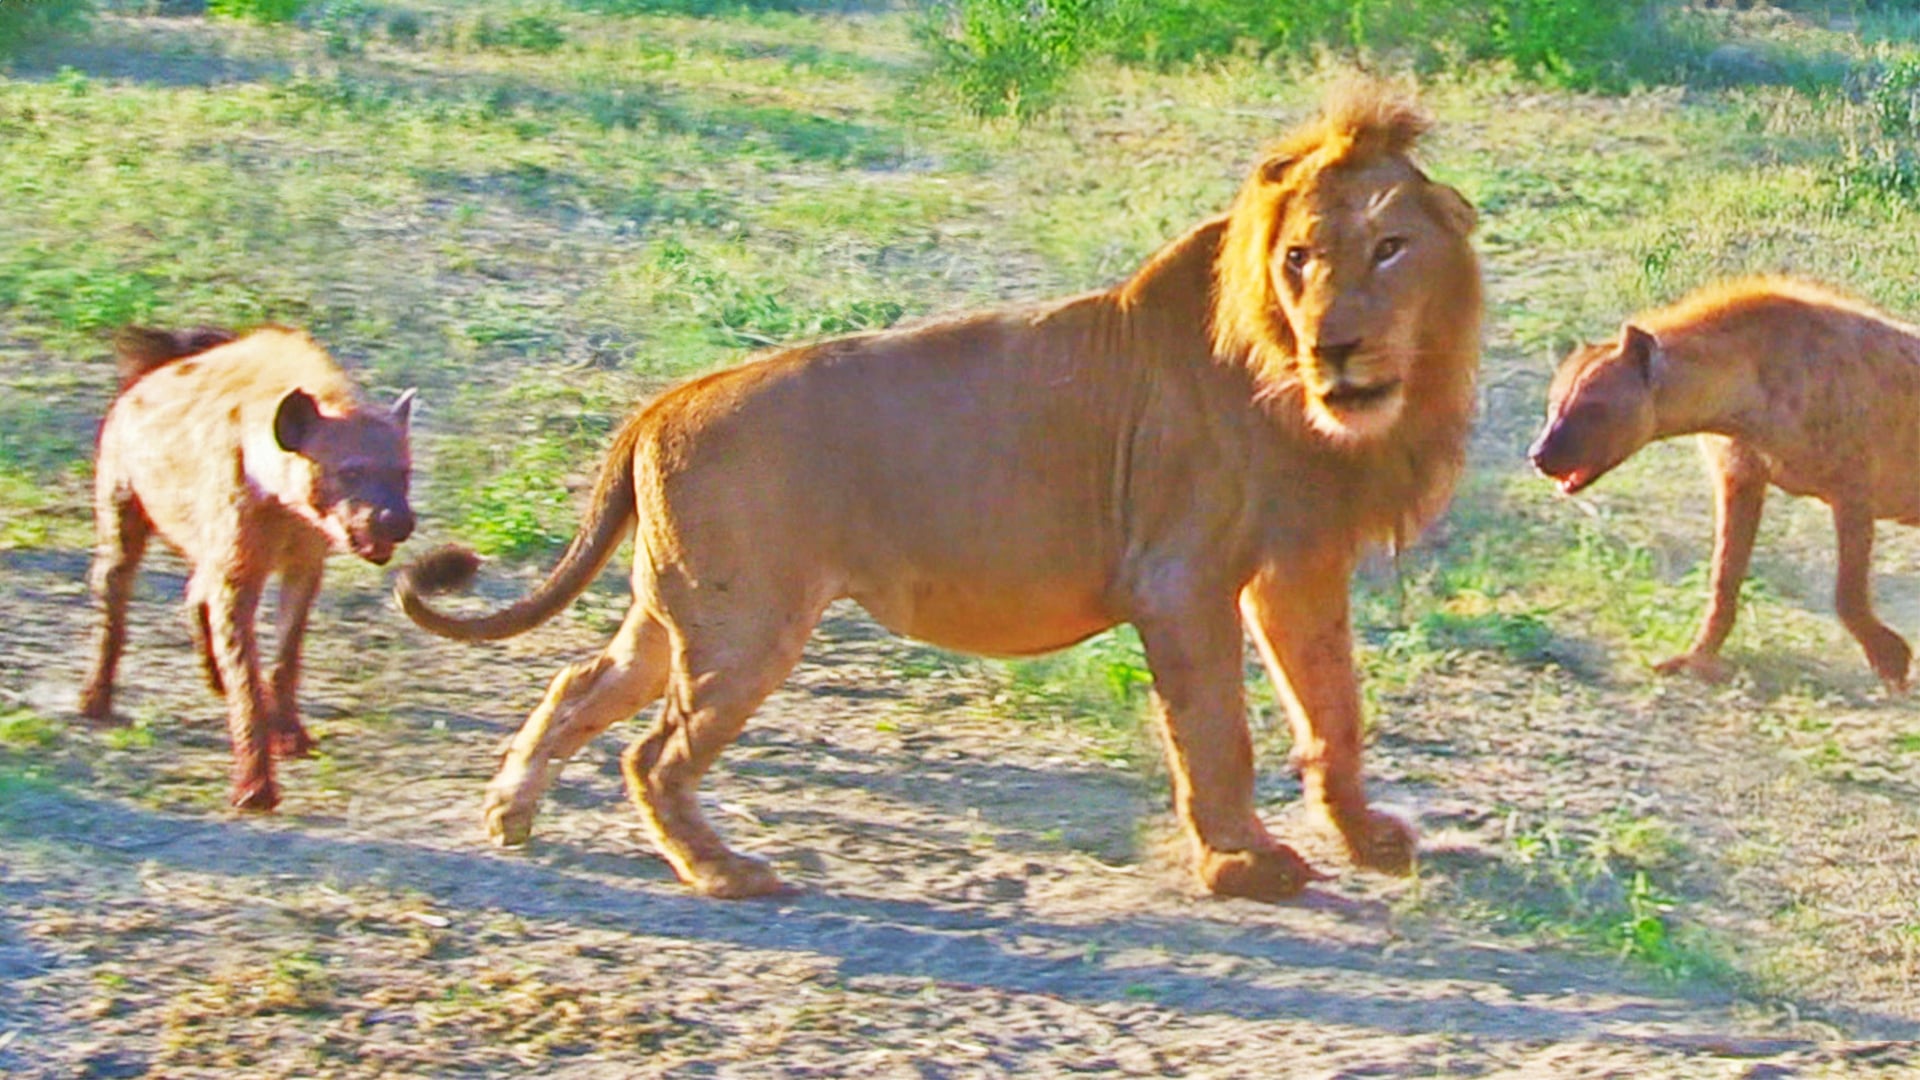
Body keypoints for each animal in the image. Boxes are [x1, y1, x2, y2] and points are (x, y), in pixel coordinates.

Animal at [80, 325, 418, 810]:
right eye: (350, 473)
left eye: (404, 474)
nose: (397, 520)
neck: (285, 508)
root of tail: (145, 375)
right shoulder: (241, 562)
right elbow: (247, 678)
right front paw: (255, 787)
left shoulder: (304, 561)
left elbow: (287, 654)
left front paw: (292, 735)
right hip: (122, 496)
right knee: (114, 585)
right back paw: (96, 700)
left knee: (196, 590)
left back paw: (210, 672)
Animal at [396, 80, 1482, 901]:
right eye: (1299, 258)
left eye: (1389, 249)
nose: (1336, 344)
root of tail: (661, 404)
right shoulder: (1180, 581)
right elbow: (1215, 733)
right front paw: (1244, 866)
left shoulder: (1297, 566)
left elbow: (1333, 710)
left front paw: (1369, 838)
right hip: (745, 626)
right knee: (653, 754)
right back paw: (725, 872)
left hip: (679, 611)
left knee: (582, 683)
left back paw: (512, 810)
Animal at [1531, 276, 1920, 690]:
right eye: (1553, 404)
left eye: (1592, 407)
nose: (1538, 455)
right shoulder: (1739, 475)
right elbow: (1724, 576)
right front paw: (1694, 658)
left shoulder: (1854, 484)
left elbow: (1847, 590)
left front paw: (1891, 659)